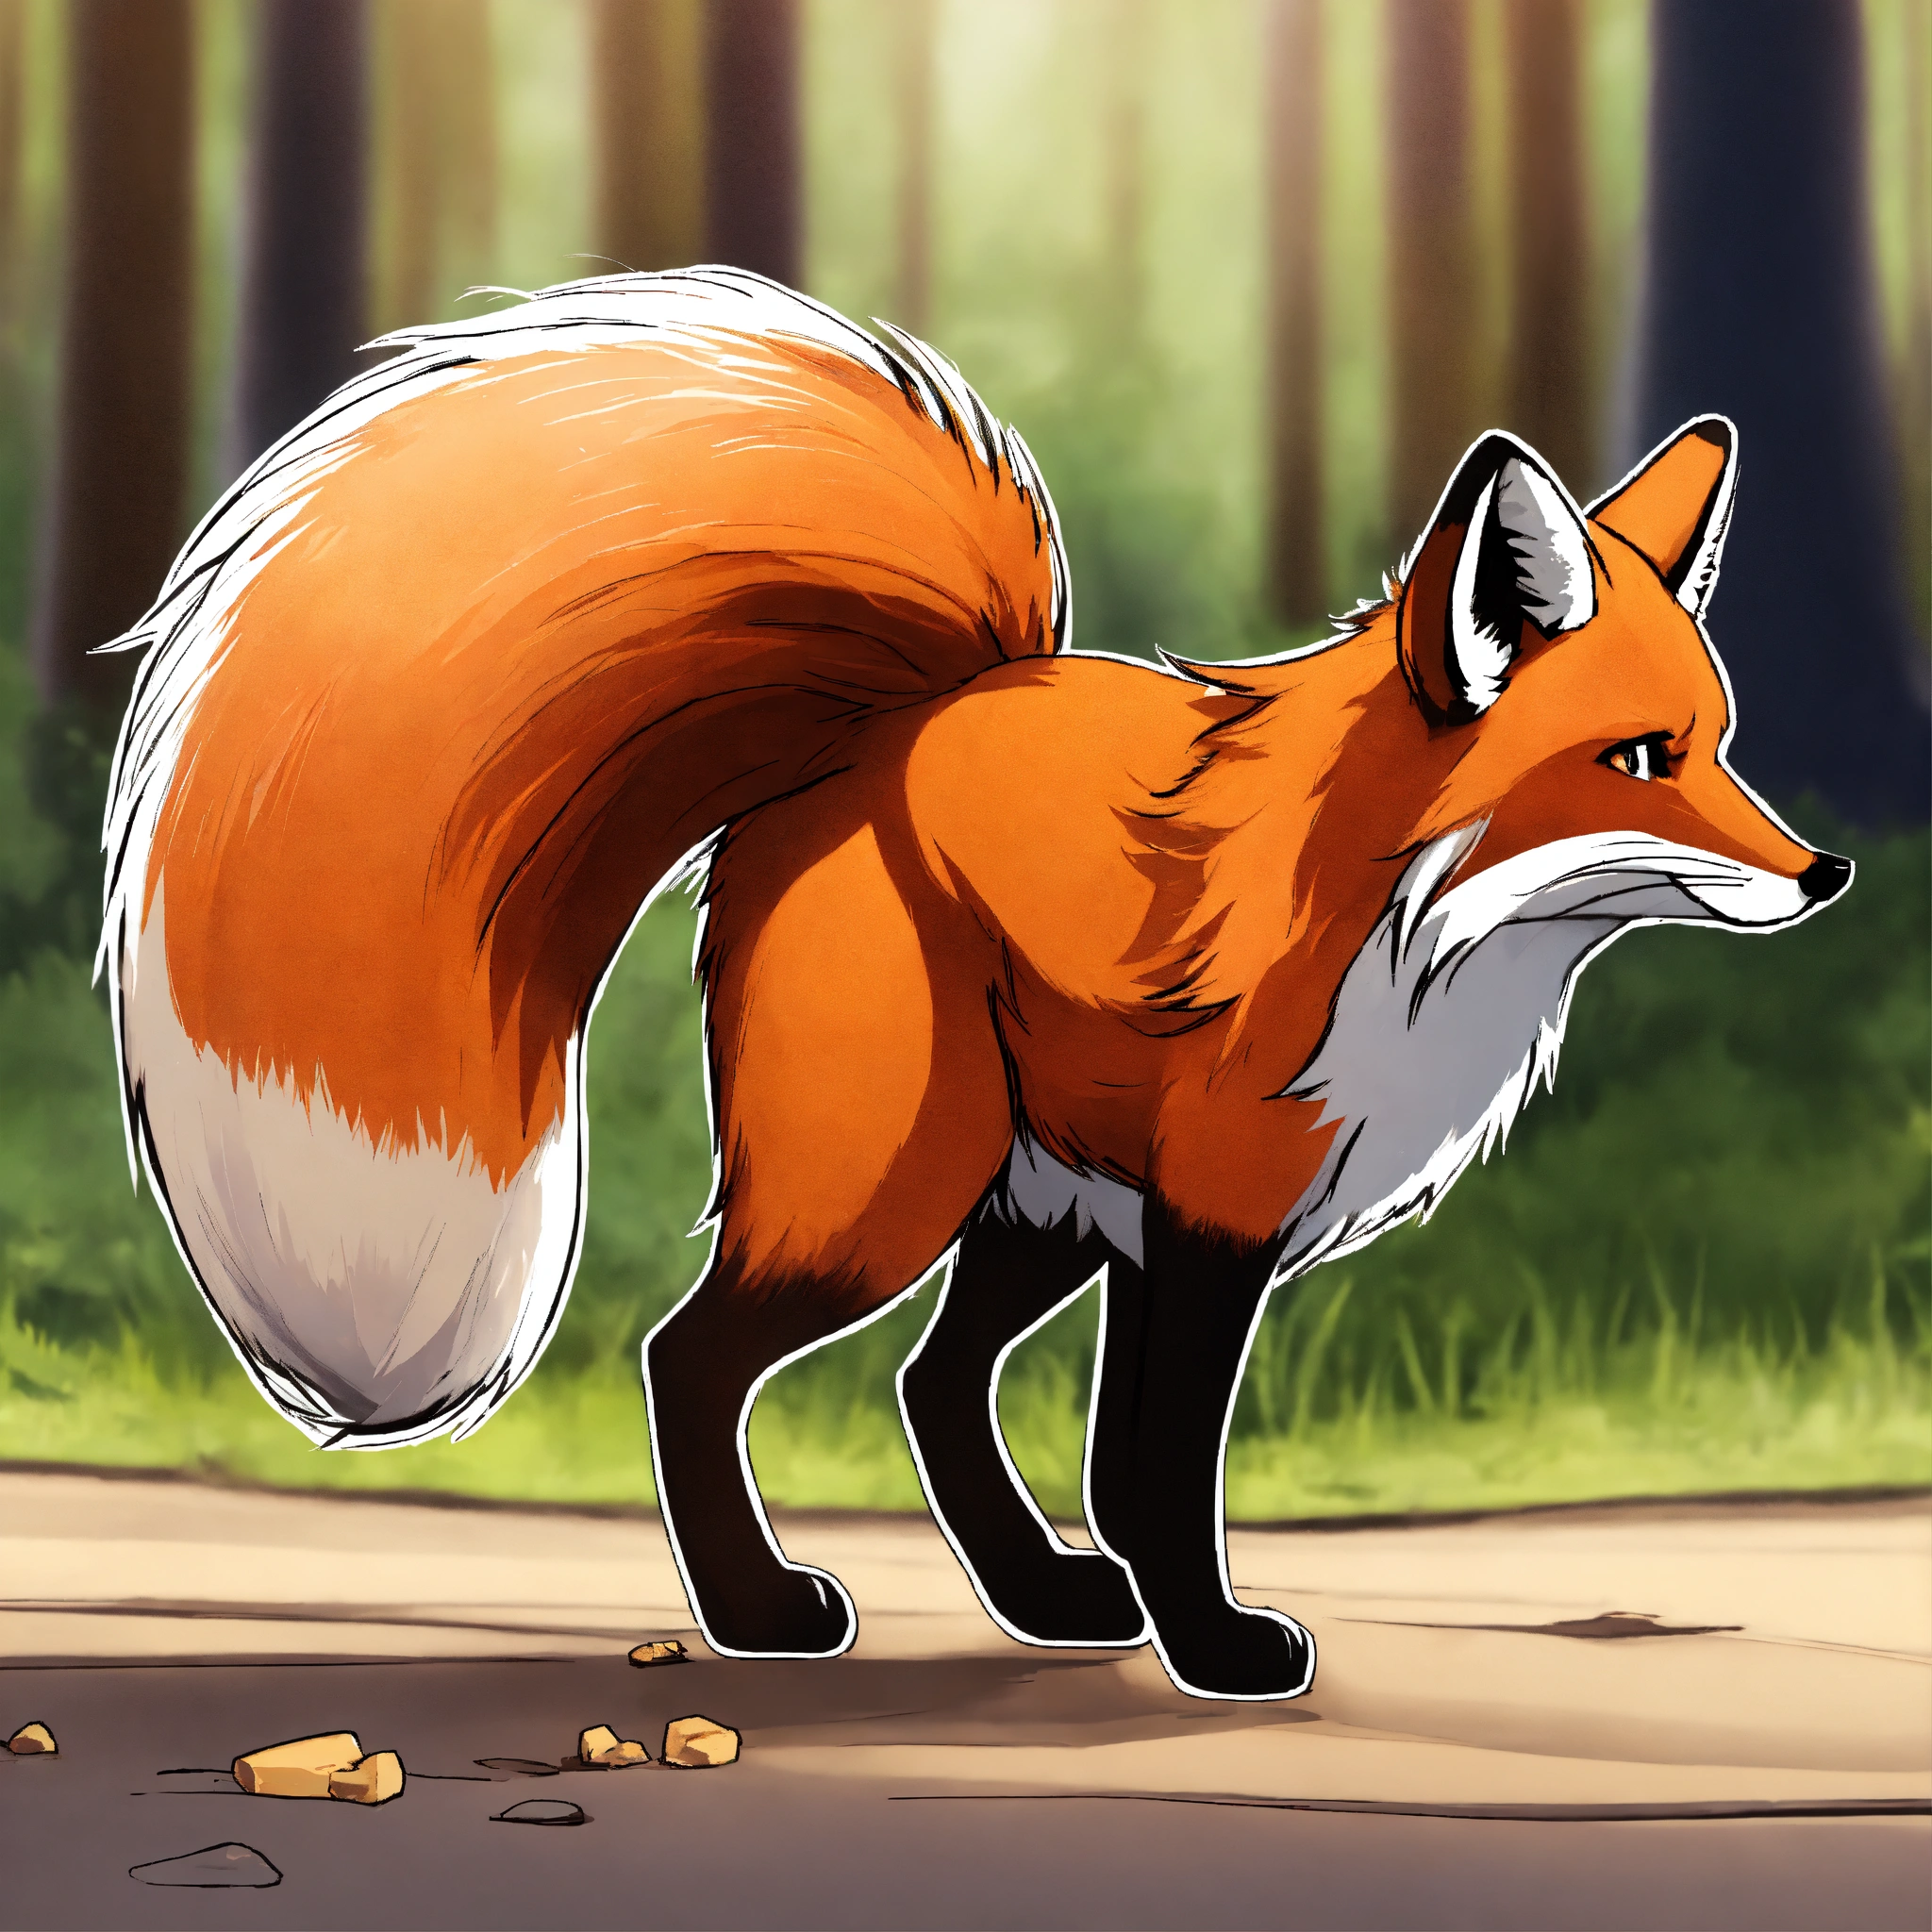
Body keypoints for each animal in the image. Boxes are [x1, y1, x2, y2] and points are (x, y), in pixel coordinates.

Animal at [101, 270, 1849, 1701]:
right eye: (1639, 760)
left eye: (1721, 745)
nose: (1825, 873)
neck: (1406, 931)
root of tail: (885, 723)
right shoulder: (1213, 1208)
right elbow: (1151, 1465)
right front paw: (1216, 1650)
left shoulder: (1176, 1216)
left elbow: (1114, 1456)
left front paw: (1169, 1625)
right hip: (893, 1187)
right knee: (697, 1356)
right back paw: (759, 1614)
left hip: (1032, 1199)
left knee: (930, 1382)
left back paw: (1034, 1600)